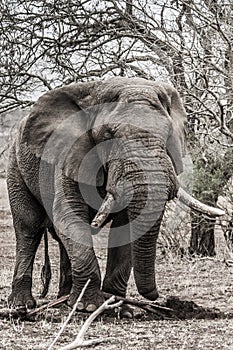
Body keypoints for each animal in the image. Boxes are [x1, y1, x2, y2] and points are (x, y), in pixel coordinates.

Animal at [6, 76, 223, 314]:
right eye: (109, 135)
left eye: (168, 135)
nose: (158, 297)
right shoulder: (70, 156)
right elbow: (69, 217)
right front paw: (90, 307)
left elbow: (125, 227)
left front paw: (119, 308)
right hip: (15, 165)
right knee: (29, 228)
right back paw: (22, 304)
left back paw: (66, 300)